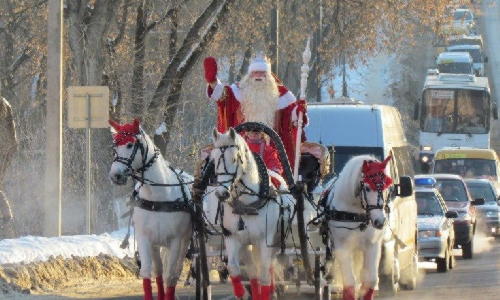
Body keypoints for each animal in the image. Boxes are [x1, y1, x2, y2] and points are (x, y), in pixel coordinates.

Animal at [108, 119, 192, 300]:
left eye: (130, 144)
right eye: (114, 146)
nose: (115, 175)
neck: (158, 197)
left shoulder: (175, 241)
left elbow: (170, 277)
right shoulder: (145, 239)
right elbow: (147, 273)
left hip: (184, 242)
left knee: (174, 272)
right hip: (156, 245)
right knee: (159, 272)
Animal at [210, 127, 294, 300]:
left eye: (234, 159)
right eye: (214, 160)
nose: (221, 194)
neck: (246, 204)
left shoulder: (265, 239)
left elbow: (264, 271)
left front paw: (267, 293)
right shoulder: (232, 237)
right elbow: (234, 269)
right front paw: (242, 294)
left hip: (273, 242)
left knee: (267, 266)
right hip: (247, 244)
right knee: (252, 269)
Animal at [326, 155, 392, 300]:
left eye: (386, 187)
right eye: (367, 188)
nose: (380, 221)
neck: (356, 213)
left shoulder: (372, 245)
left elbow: (370, 280)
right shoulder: (342, 246)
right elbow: (349, 282)